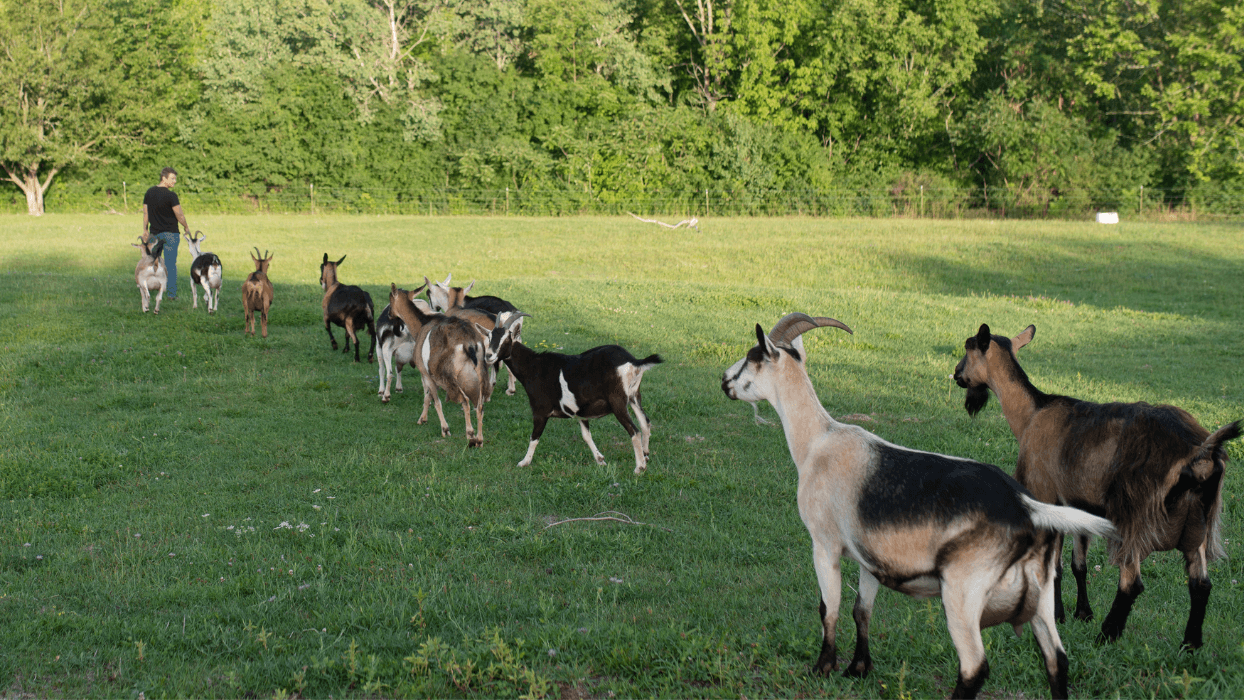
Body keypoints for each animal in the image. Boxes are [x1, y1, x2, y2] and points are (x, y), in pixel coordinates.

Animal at [491, 316, 660, 474]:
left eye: (507, 339)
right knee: (645, 423)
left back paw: (639, 467)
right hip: (634, 396)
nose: (489, 356)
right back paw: (645, 456)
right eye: (491, 338)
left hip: (618, 401)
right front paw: (600, 460)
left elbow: (534, 437)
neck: (533, 367)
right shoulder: (580, 412)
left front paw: (524, 462)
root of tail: (633, 361)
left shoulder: (540, 411)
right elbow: (586, 436)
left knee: (635, 431)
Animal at [722, 313, 1117, 699]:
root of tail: (1028, 508)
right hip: (1043, 596)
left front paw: (823, 668)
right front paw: (858, 669)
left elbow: (828, 609)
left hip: (963, 592)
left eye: (753, 357)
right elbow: (861, 610)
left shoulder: (824, 544)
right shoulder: (870, 558)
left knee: (974, 667)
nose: (725, 380)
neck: (818, 441)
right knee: (1056, 660)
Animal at [953, 323, 1240, 649]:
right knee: (1201, 584)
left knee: (1131, 583)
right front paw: (1082, 614)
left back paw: (1107, 634)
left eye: (968, 347)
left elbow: (1054, 567)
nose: (956, 374)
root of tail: (1201, 452)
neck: (1032, 414)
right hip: (1198, 525)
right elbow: (1079, 564)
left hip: (1136, 515)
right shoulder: (1079, 504)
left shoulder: (1046, 495)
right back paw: (1190, 645)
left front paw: (1059, 616)